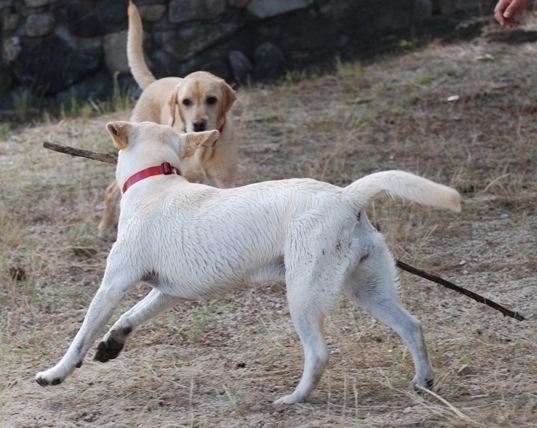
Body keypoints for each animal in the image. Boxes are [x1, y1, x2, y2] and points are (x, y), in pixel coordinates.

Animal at [35, 121, 458, 404]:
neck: (156, 181)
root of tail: (346, 197)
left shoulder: (113, 284)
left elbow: (80, 338)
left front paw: (55, 374)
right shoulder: (167, 293)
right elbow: (129, 318)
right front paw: (112, 344)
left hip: (303, 295)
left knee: (319, 354)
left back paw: (294, 399)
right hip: (367, 289)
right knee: (412, 326)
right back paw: (423, 382)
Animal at [98, 0, 237, 237]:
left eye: (212, 100)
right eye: (186, 101)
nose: (198, 124)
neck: (202, 150)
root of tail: (154, 82)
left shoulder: (224, 182)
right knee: (109, 191)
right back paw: (104, 226)